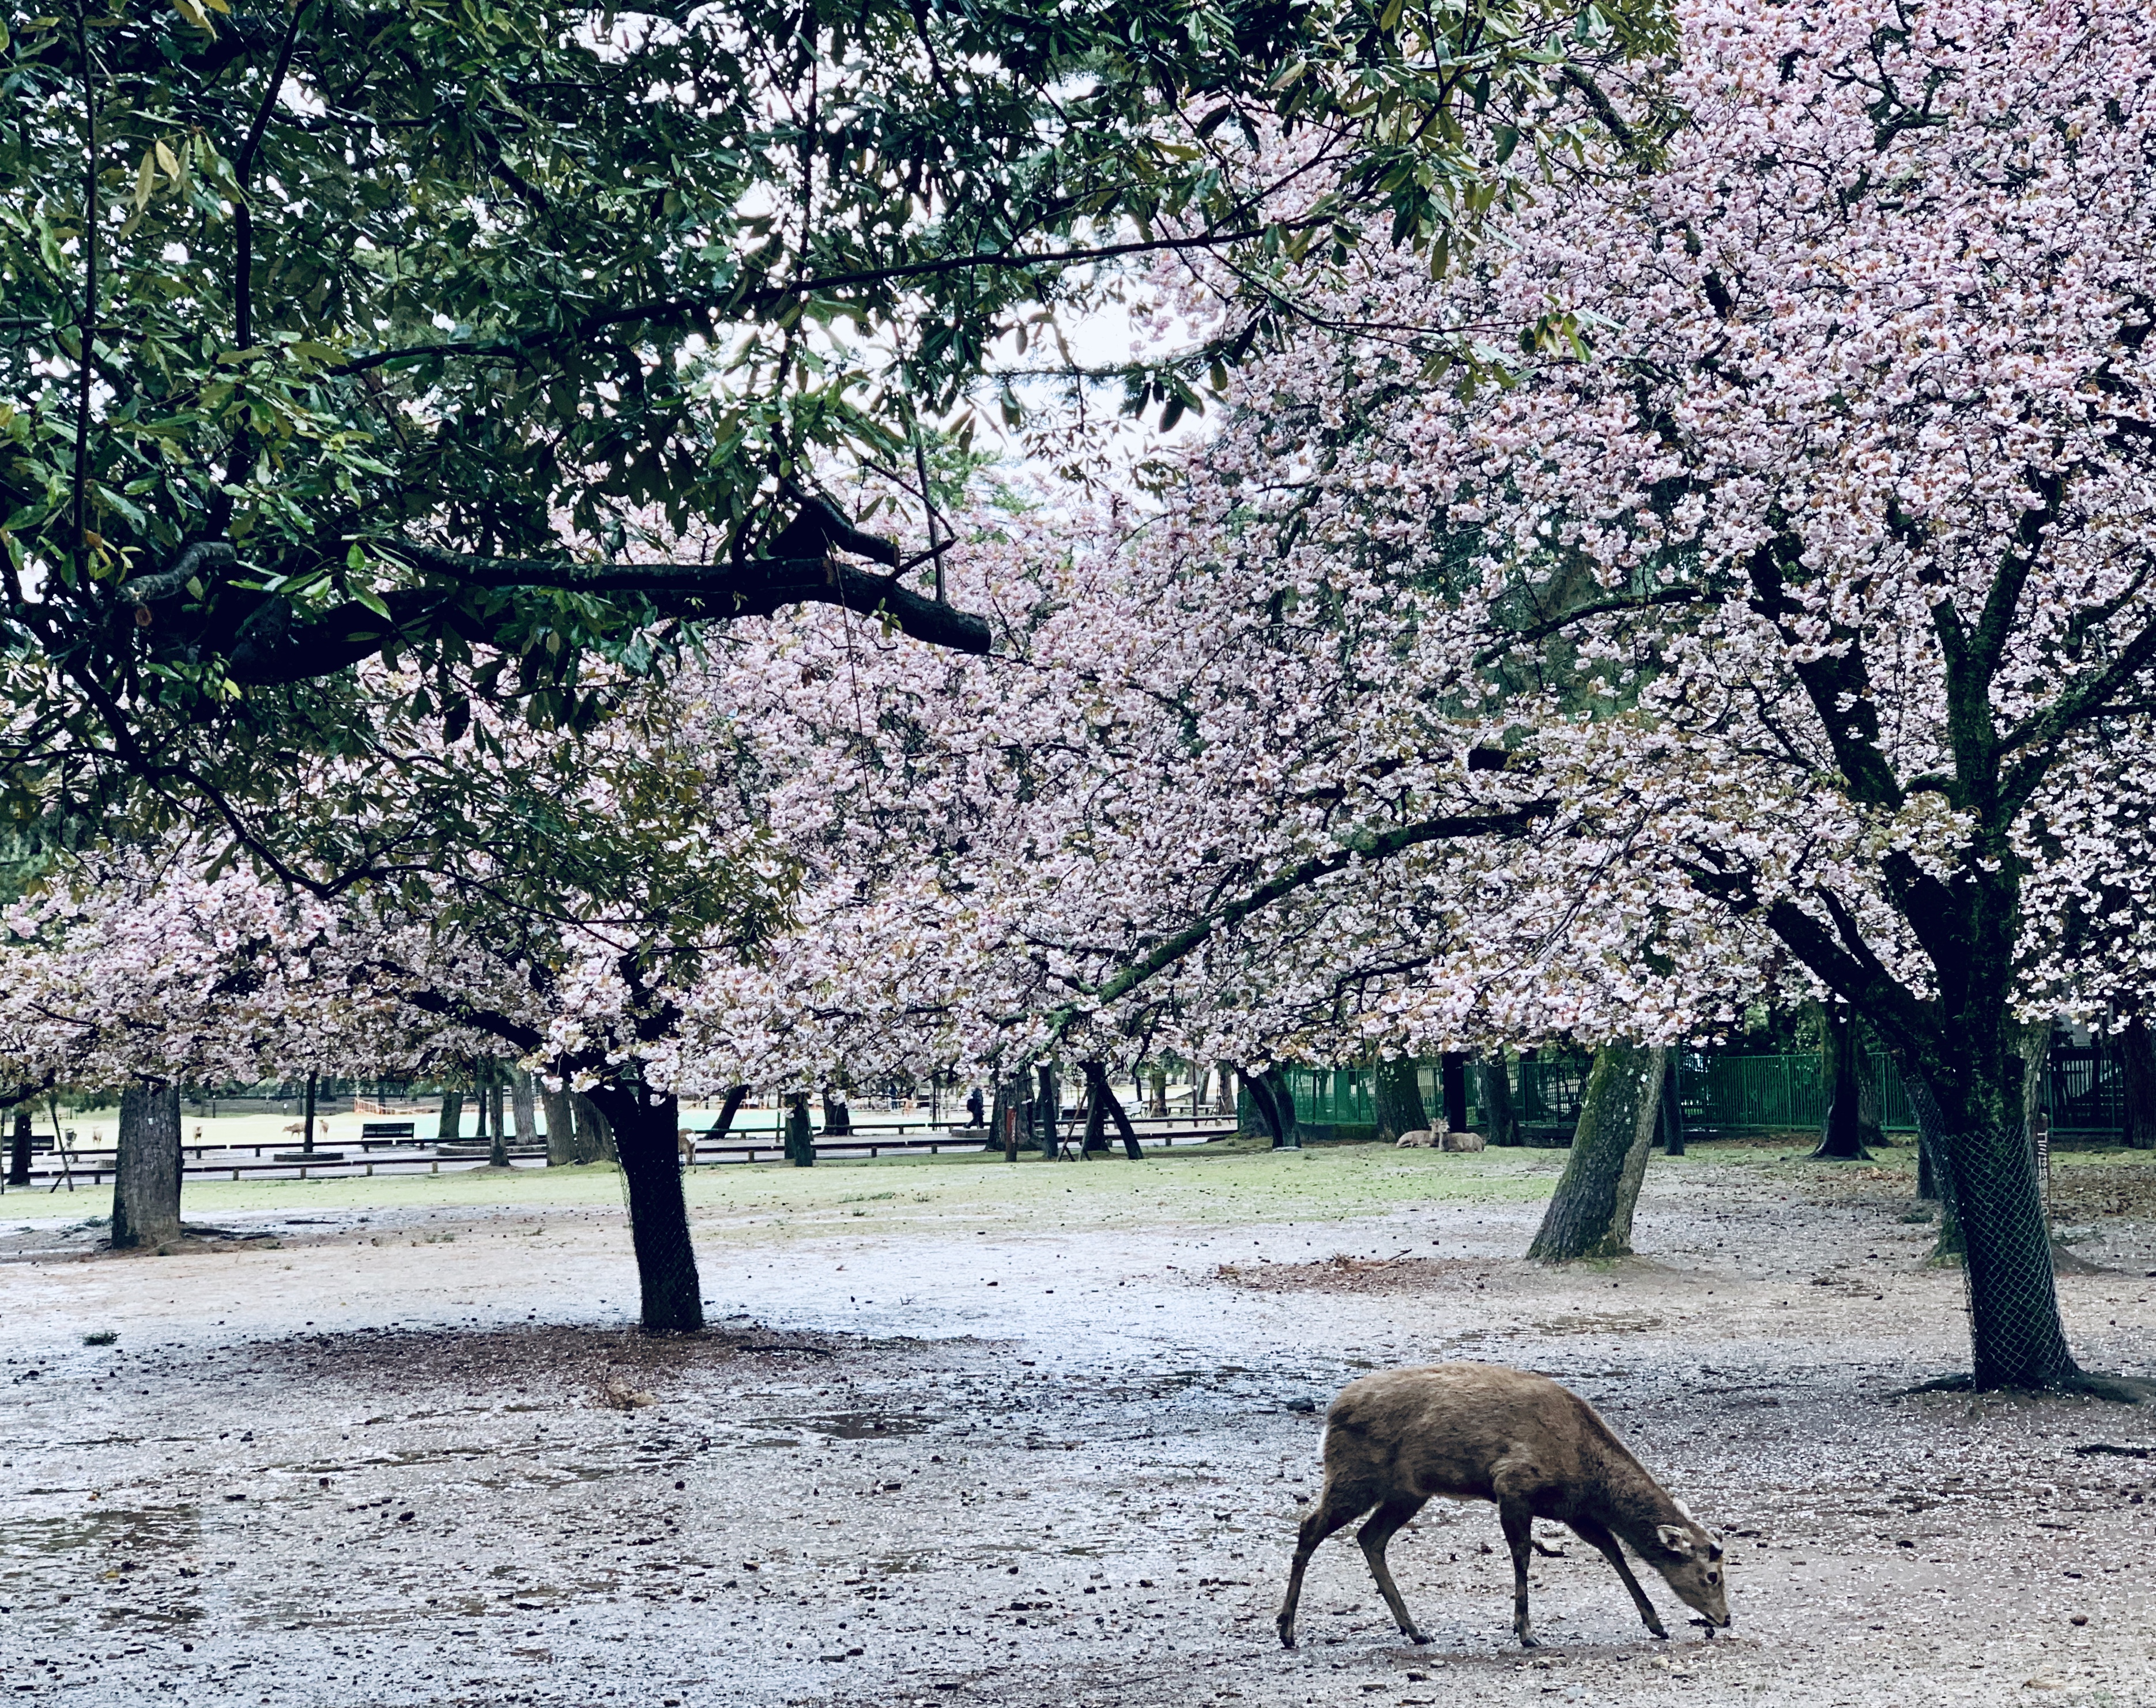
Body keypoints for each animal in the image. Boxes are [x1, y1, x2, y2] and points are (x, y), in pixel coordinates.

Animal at [1276, 1354, 1733, 1647]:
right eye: (1712, 1575)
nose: (1726, 1618)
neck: (1585, 1469)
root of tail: (1331, 1415)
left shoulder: (1573, 1509)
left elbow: (1613, 1551)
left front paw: (1655, 1623)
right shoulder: (1514, 1483)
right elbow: (1523, 1555)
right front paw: (1526, 1632)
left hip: (1408, 1491)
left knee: (1370, 1537)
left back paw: (1415, 1629)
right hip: (1354, 1476)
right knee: (1309, 1527)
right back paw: (1287, 1630)